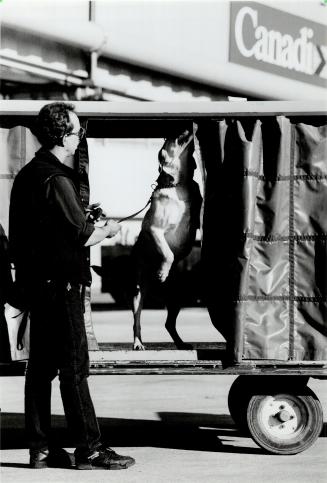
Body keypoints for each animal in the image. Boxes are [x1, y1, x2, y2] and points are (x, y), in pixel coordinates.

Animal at [131, 130, 202, 352]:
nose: (186, 128)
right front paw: (162, 272)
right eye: (174, 137)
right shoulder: (155, 230)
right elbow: (167, 253)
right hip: (138, 292)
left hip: (177, 297)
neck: (178, 184)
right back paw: (138, 343)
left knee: (169, 323)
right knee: (136, 320)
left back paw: (181, 344)